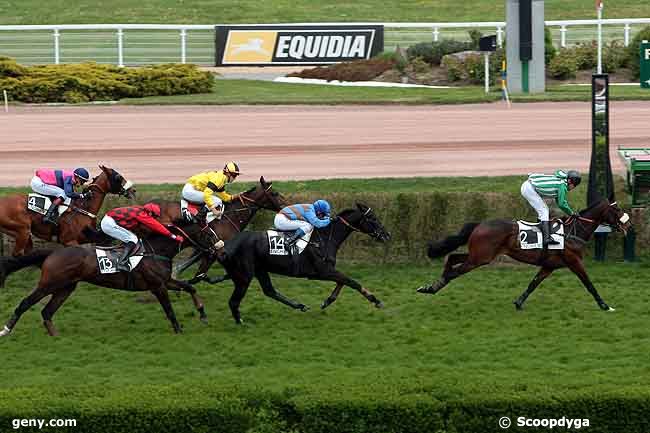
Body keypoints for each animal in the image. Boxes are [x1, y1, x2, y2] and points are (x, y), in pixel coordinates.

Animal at [0, 165, 135, 258]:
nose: (133, 190)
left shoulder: (88, 237)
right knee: (17, 254)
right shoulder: (69, 241)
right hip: (22, 230)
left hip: (22, 233)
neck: (84, 207)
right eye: (118, 177)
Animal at [0, 218, 218, 336]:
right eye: (208, 235)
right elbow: (169, 309)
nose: (220, 248)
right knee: (25, 303)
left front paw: (203, 314)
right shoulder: (157, 286)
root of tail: (53, 252)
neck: (156, 251)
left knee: (47, 311)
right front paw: (178, 329)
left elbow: (190, 287)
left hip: (66, 287)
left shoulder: (166, 281)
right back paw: (6, 330)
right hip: (49, 283)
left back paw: (56, 336)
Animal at [218, 204, 390, 322]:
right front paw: (376, 300)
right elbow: (351, 281)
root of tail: (224, 248)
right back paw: (240, 322)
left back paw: (300, 306)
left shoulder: (324, 272)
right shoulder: (323, 271)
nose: (387, 235)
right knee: (234, 302)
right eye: (373, 218)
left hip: (260, 270)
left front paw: (327, 301)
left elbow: (342, 282)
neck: (324, 238)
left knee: (270, 291)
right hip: (244, 277)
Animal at [416, 199, 628, 310]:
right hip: (480, 258)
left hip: (478, 255)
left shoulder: (549, 266)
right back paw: (432, 288)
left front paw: (518, 302)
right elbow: (589, 284)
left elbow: (533, 283)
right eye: (617, 210)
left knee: (452, 258)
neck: (572, 232)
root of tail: (480, 224)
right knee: (454, 272)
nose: (628, 225)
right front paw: (605, 305)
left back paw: (432, 285)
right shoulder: (574, 261)